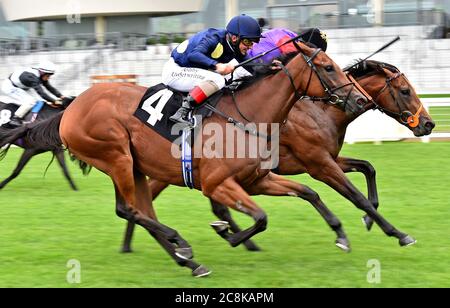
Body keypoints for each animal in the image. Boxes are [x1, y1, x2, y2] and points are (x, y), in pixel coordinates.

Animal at [0, 42, 372, 276]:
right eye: (328, 67)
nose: (360, 100)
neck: (248, 115)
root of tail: (70, 109)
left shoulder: (258, 180)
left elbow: (308, 192)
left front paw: (341, 235)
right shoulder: (218, 184)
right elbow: (261, 217)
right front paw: (227, 232)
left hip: (134, 167)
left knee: (141, 211)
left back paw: (190, 263)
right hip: (116, 155)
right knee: (129, 210)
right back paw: (181, 243)